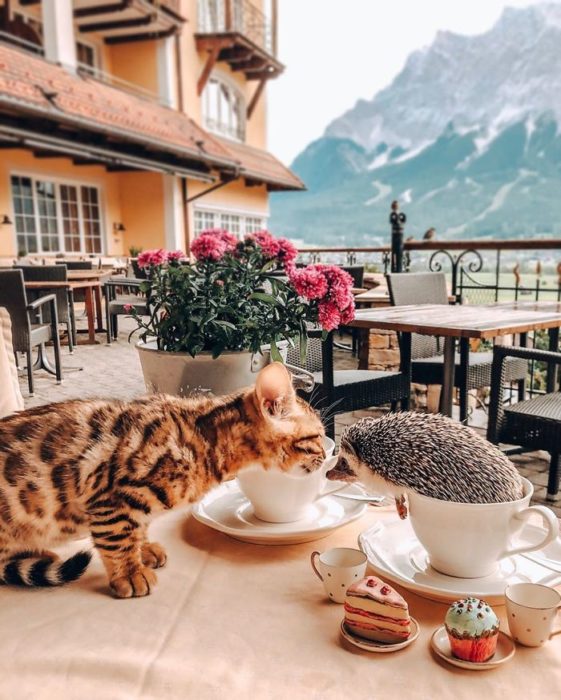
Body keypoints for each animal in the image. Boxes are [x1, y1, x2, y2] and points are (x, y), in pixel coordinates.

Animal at [0, 364, 324, 600]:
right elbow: (118, 536)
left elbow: (138, 526)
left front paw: (144, 549)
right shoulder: (109, 496)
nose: (325, 458)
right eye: (318, 436)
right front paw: (130, 572)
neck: (204, 441)